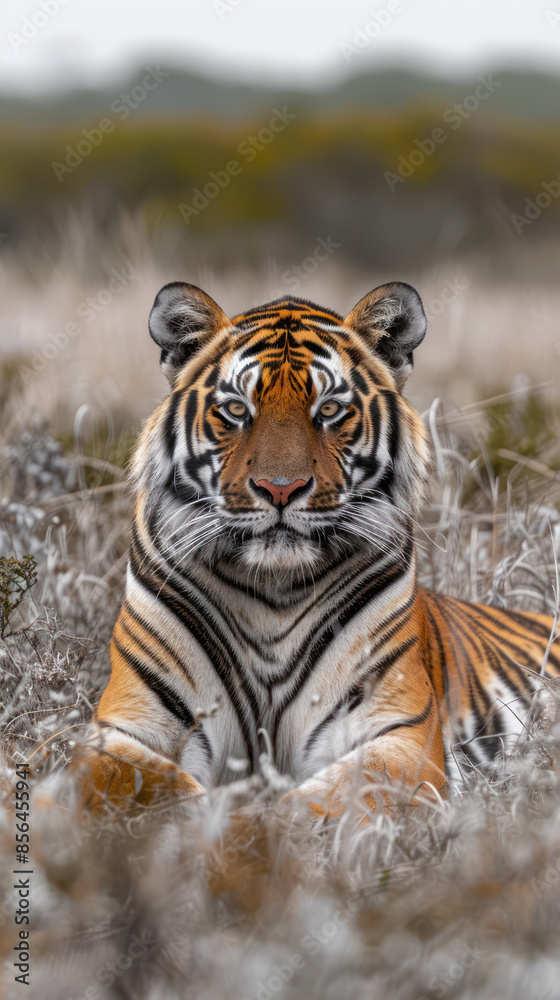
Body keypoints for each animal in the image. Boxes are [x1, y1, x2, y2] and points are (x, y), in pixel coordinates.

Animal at [77, 279, 560, 818]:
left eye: (328, 409)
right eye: (237, 409)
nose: (280, 489)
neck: (273, 589)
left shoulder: (399, 735)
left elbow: (317, 804)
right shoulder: (128, 726)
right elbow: (130, 784)